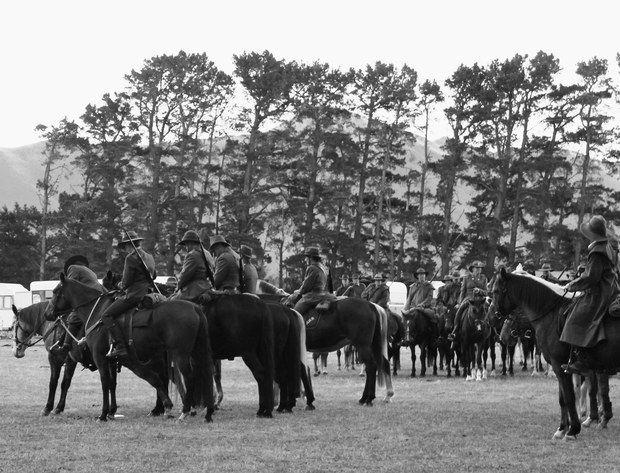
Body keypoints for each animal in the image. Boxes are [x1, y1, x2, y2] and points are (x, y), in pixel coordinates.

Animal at [46, 272, 216, 420]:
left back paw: (185, 411)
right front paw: (111, 412)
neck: (96, 313)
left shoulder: (101, 358)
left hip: (180, 354)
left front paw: (103, 414)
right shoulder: (112, 360)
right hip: (193, 352)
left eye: (55, 291)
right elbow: (113, 384)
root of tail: (194, 307)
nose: (48, 313)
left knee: (188, 377)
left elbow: (105, 383)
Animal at [492, 268, 616, 436]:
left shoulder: (562, 366)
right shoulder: (565, 367)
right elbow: (565, 397)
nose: (503, 336)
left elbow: (573, 396)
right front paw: (563, 428)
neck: (551, 314)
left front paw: (573, 429)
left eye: (496, 290)